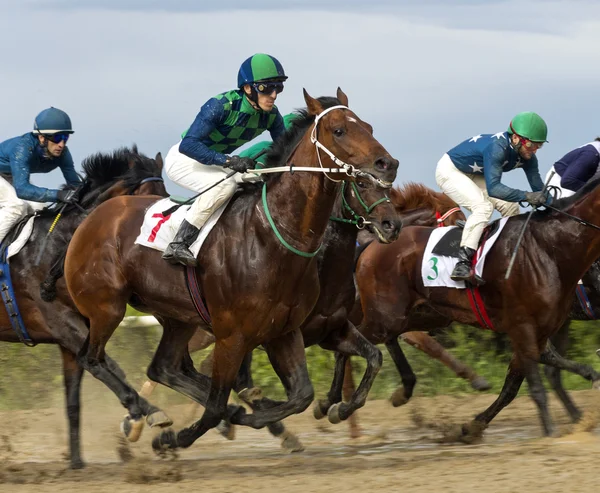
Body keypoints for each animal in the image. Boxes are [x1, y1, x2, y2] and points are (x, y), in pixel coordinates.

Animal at [0, 145, 166, 466]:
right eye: (145, 199)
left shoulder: (75, 330)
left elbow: (77, 395)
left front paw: (77, 460)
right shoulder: (61, 323)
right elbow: (101, 365)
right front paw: (142, 412)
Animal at [63, 88, 400, 450]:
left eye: (368, 126)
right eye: (339, 130)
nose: (388, 165)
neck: (273, 236)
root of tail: (95, 214)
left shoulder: (285, 331)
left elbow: (304, 394)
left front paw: (267, 415)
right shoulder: (233, 337)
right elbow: (216, 406)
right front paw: (178, 437)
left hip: (177, 318)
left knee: (163, 368)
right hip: (106, 307)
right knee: (92, 358)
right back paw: (148, 415)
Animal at [350, 178, 600, 438]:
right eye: (454, 221)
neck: (548, 247)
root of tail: (371, 249)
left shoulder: (534, 329)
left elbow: (513, 384)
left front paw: (473, 424)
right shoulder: (523, 326)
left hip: (419, 315)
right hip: (391, 316)